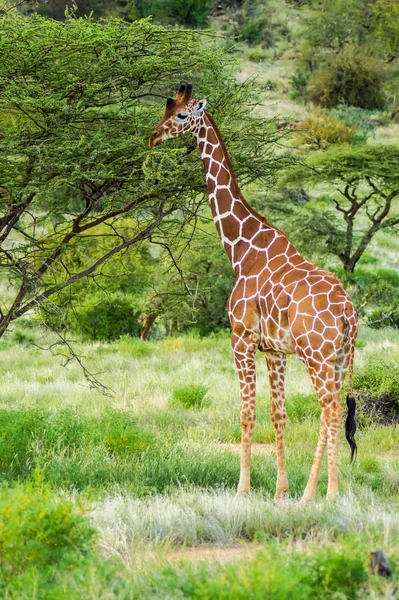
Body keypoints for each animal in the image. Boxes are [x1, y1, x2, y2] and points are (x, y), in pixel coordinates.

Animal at [149, 82, 360, 500]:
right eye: (164, 107)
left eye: (180, 114)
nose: (152, 137)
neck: (241, 250)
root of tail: (348, 312)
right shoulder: (274, 351)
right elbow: (279, 414)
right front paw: (280, 491)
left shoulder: (240, 338)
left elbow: (247, 413)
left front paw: (243, 489)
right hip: (340, 357)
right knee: (335, 410)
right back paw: (317, 491)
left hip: (317, 356)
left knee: (329, 408)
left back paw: (322, 493)